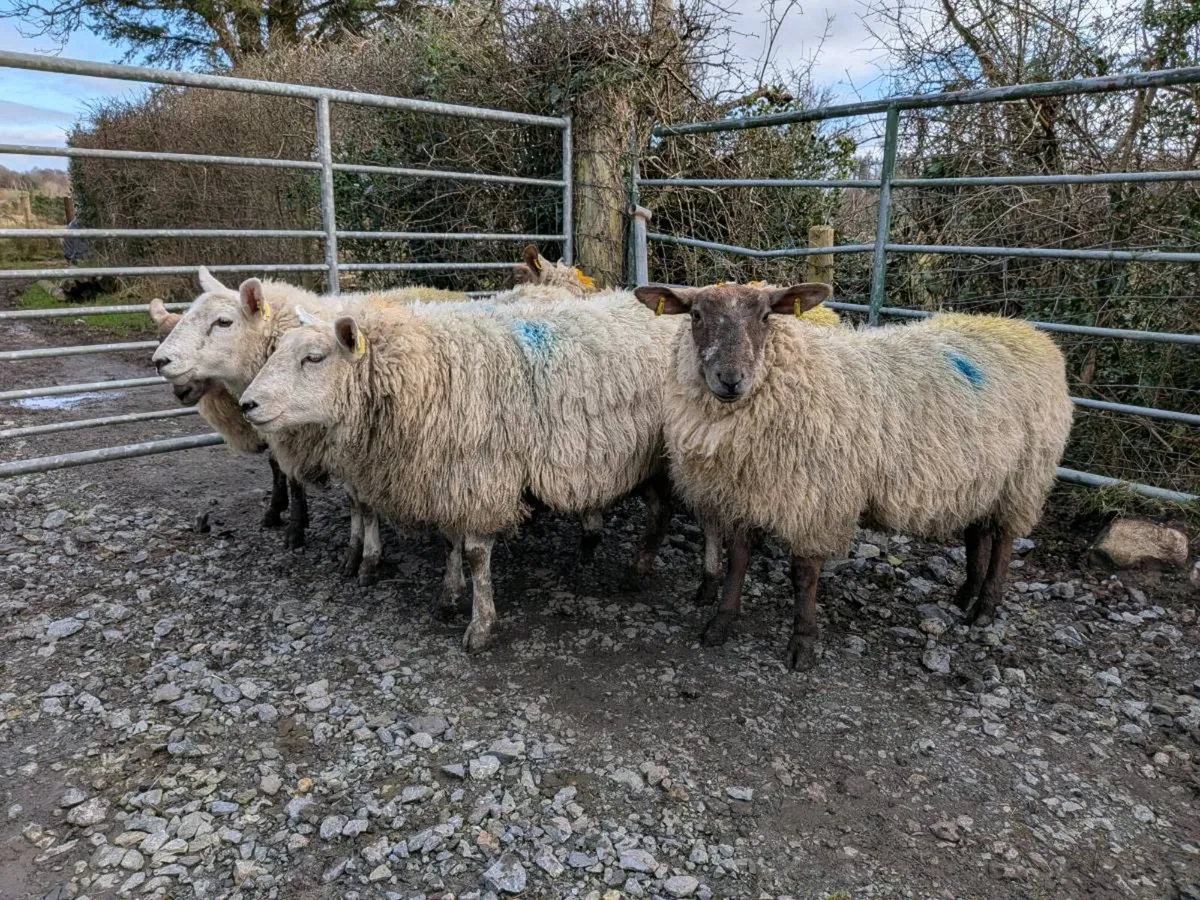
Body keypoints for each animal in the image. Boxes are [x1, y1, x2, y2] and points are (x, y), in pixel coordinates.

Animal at [238, 292, 681, 651]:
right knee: (659, 508)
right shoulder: (448, 476)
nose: (246, 404)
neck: (428, 370)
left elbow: (475, 555)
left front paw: (480, 626)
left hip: (660, 457)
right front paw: (448, 597)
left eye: (314, 358)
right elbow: (449, 542)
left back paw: (638, 569)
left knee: (661, 509)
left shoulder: (481, 475)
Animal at [633, 281, 1074, 670]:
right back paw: (965, 595)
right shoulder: (744, 492)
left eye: (765, 316)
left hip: (1025, 477)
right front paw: (721, 622)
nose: (730, 379)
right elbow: (737, 561)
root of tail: (1026, 331)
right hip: (985, 476)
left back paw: (985, 608)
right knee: (978, 533)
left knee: (1004, 541)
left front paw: (802, 644)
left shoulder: (818, 499)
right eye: (695, 315)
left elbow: (804, 575)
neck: (794, 377)